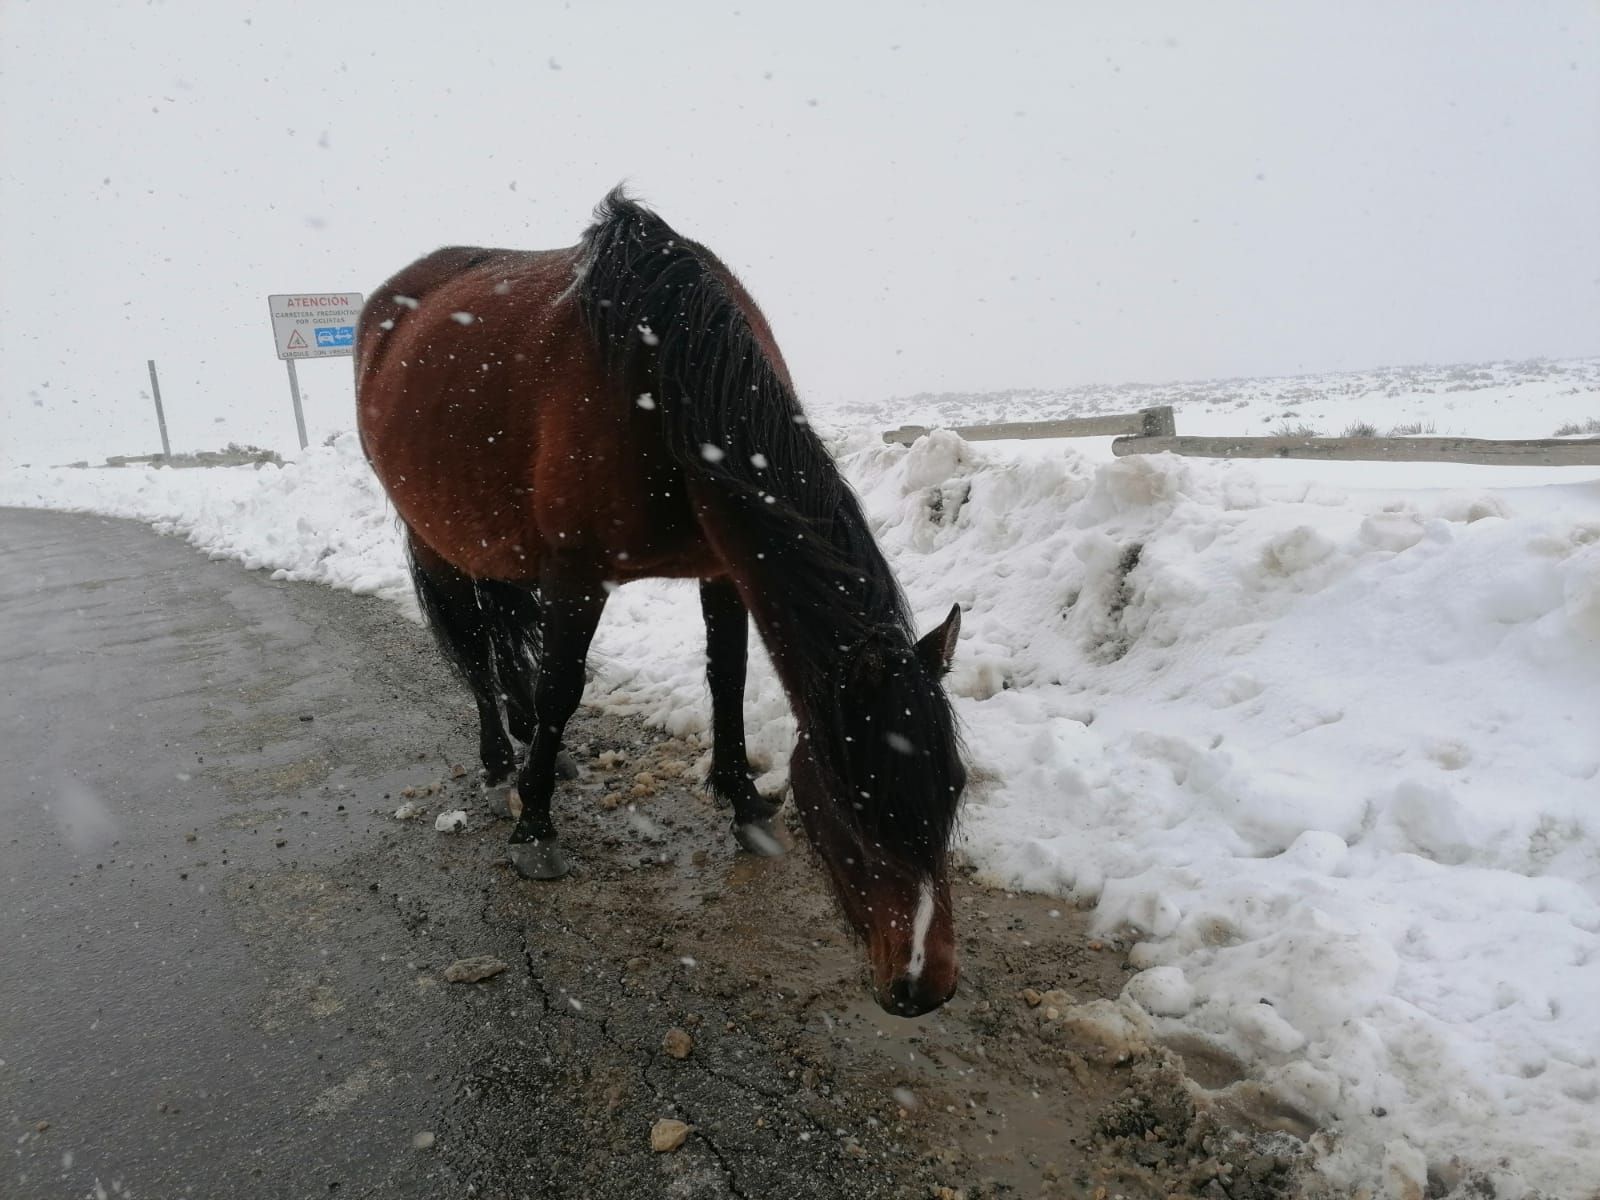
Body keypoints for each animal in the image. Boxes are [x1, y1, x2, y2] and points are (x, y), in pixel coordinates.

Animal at [358, 188, 966, 1017]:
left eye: (956, 786)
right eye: (854, 797)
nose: (923, 987)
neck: (662, 376)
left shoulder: (722, 571)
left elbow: (727, 680)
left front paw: (744, 804)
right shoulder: (577, 576)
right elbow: (562, 687)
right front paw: (536, 829)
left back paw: (537, 753)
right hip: (435, 540)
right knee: (475, 648)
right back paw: (500, 761)